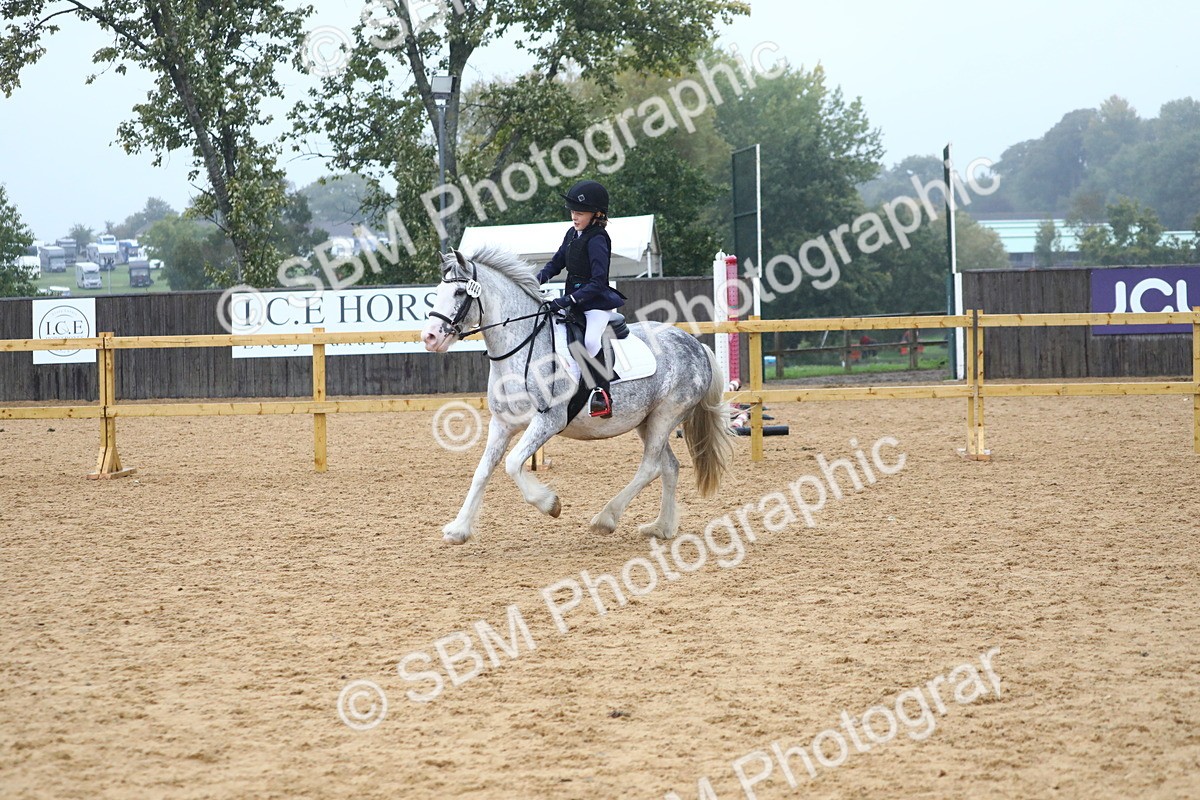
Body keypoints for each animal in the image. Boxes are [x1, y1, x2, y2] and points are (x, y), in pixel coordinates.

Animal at [420, 248, 733, 545]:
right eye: (438, 291)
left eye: (460, 292)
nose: (430, 337)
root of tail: (696, 345)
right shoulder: (502, 424)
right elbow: (483, 471)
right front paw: (459, 529)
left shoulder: (548, 421)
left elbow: (512, 463)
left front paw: (550, 504)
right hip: (647, 421)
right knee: (669, 466)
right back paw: (661, 527)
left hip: (665, 416)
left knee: (650, 467)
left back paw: (606, 519)